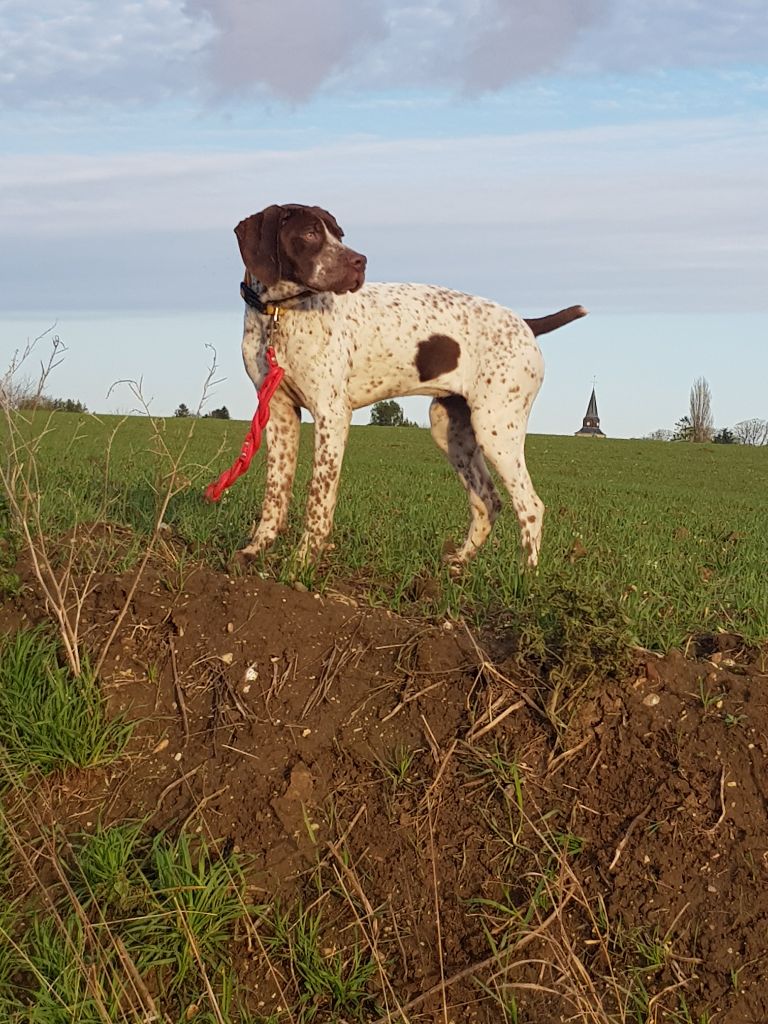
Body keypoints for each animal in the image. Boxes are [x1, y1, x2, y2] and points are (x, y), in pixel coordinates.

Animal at [231, 199, 585, 569]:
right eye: (311, 233)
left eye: (340, 234)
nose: (359, 261)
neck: (278, 313)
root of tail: (526, 323)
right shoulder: (279, 413)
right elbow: (275, 491)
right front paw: (256, 549)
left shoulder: (331, 414)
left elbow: (319, 495)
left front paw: (302, 560)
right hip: (452, 432)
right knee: (487, 500)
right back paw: (459, 563)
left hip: (497, 429)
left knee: (530, 505)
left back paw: (525, 574)